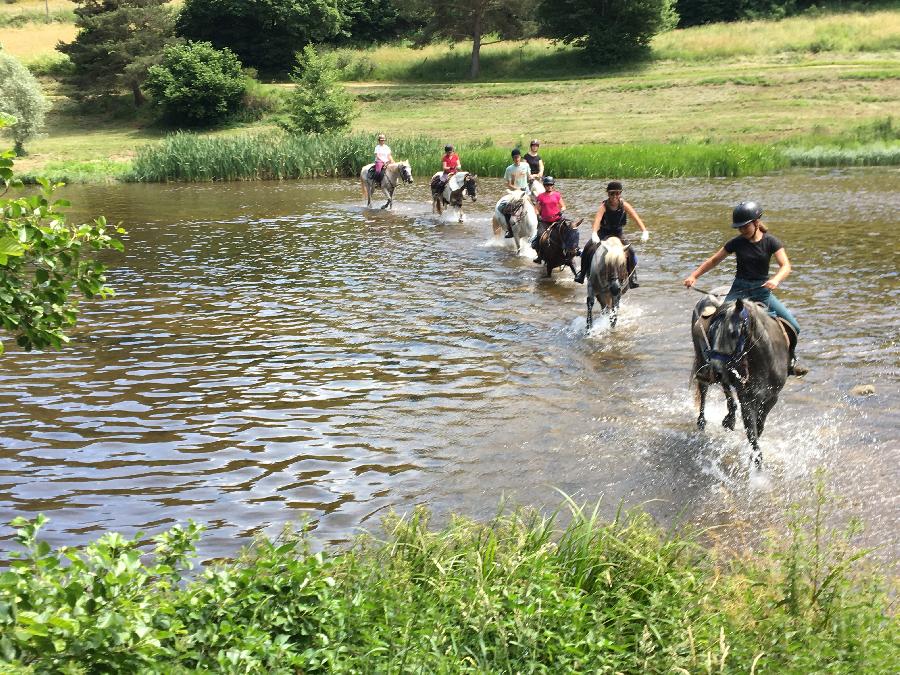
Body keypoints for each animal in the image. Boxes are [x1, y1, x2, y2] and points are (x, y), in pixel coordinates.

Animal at [692, 294, 792, 472]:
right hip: (702, 362)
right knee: (704, 390)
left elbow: (759, 427)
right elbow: (752, 432)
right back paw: (703, 422)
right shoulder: (747, 399)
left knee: (726, 388)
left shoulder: (771, 398)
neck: (763, 361)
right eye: (712, 331)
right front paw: (757, 468)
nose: (714, 369)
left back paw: (729, 419)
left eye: (733, 333)